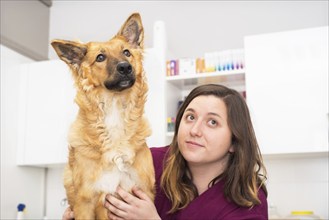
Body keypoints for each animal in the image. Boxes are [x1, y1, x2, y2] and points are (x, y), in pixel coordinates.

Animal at [50, 12, 155, 219]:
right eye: (100, 57)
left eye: (127, 53)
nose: (125, 67)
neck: (115, 108)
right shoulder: (86, 201)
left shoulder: (143, 192)